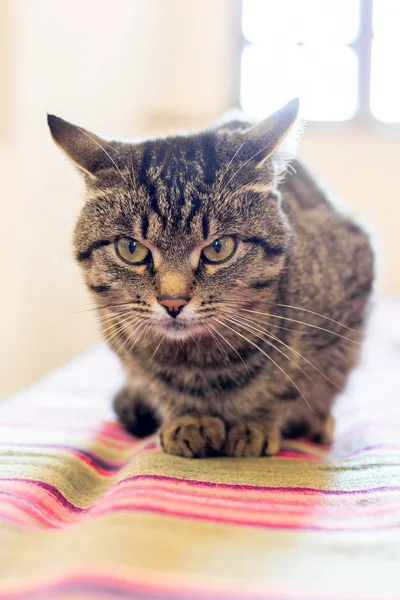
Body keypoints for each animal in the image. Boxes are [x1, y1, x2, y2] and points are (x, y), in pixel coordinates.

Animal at [47, 101, 376, 460]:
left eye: (219, 248)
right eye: (131, 249)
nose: (173, 301)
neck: (202, 365)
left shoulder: (345, 319)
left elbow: (292, 385)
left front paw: (255, 422)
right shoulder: (119, 335)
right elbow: (156, 383)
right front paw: (188, 418)